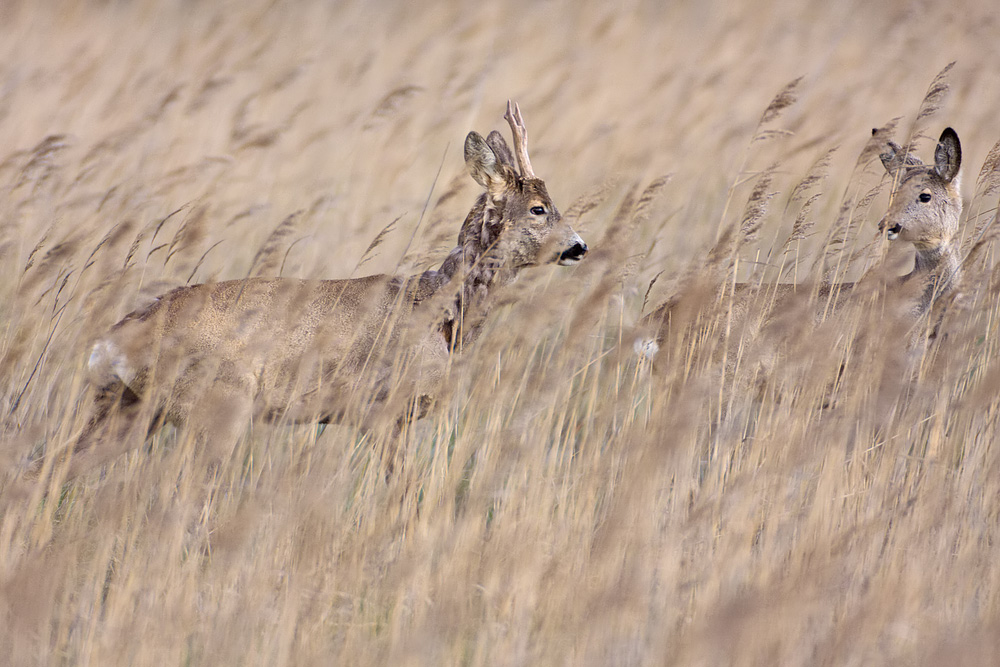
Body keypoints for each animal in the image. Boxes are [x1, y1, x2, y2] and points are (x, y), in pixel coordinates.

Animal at [62, 102, 584, 478]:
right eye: (539, 209)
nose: (579, 246)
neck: (441, 312)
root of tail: (112, 342)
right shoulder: (382, 409)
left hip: (126, 408)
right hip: (217, 406)